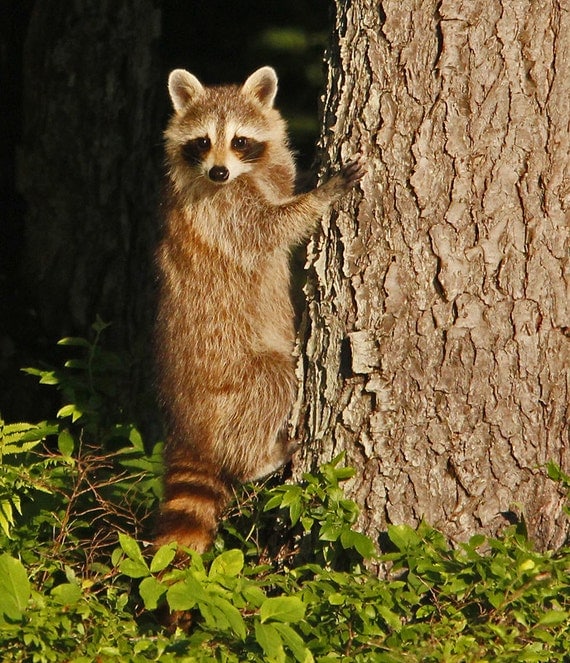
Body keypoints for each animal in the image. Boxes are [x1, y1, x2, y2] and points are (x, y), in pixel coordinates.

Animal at [153, 66, 362, 556]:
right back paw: (261, 459)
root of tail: (191, 426)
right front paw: (320, 195)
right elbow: (270, 228)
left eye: (240, 140)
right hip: (235, 372)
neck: (239, 176)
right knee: (273, 382)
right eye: (203, 142)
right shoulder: (220, 212)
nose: (219, 170)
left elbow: (281, 181)